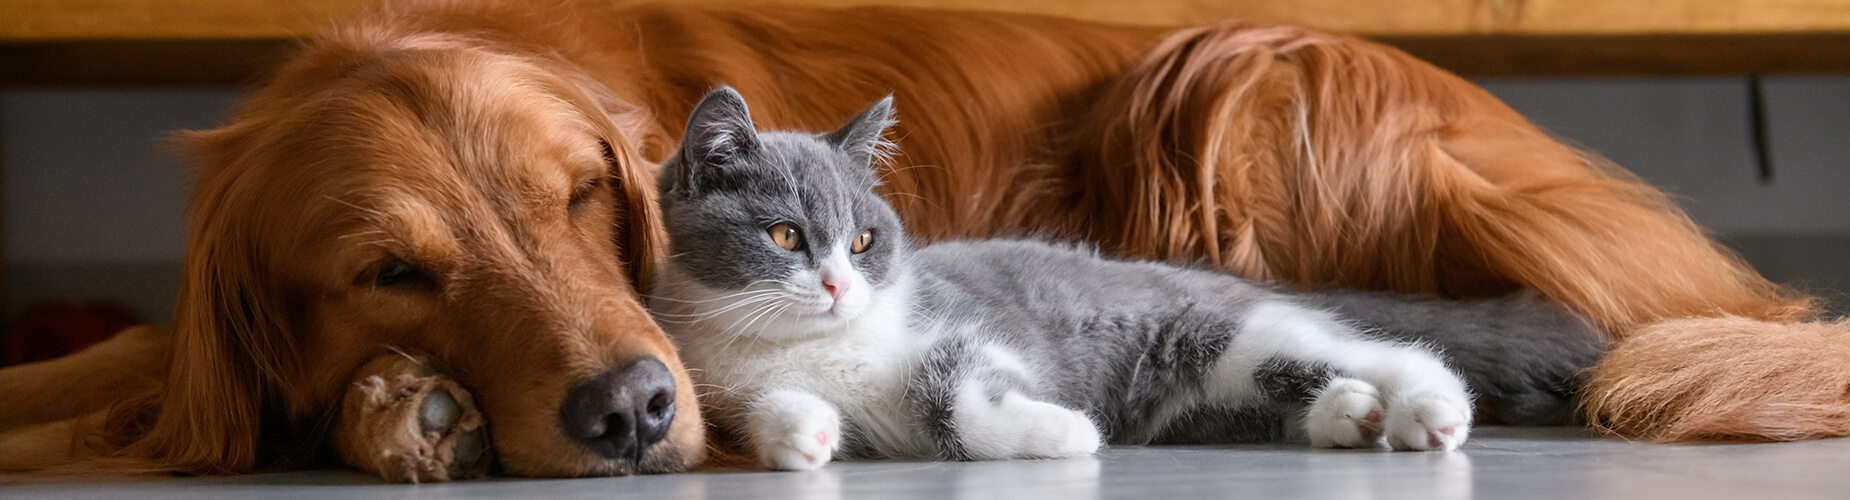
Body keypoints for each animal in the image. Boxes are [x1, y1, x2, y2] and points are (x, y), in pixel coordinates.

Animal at [654, 87, 1605, 468]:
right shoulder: (720, 379)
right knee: (1291, 383)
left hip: (1215, 326)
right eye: (786, 235)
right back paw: (1349, 414)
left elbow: (960, 397)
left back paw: (1424, 411)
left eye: (861, 242)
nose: (837, 287)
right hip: (1215, 388)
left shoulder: (968, 334)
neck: (816, 348)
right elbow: (766, 415)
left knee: (1396, 352)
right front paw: (804, 434)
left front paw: (1066, 431)